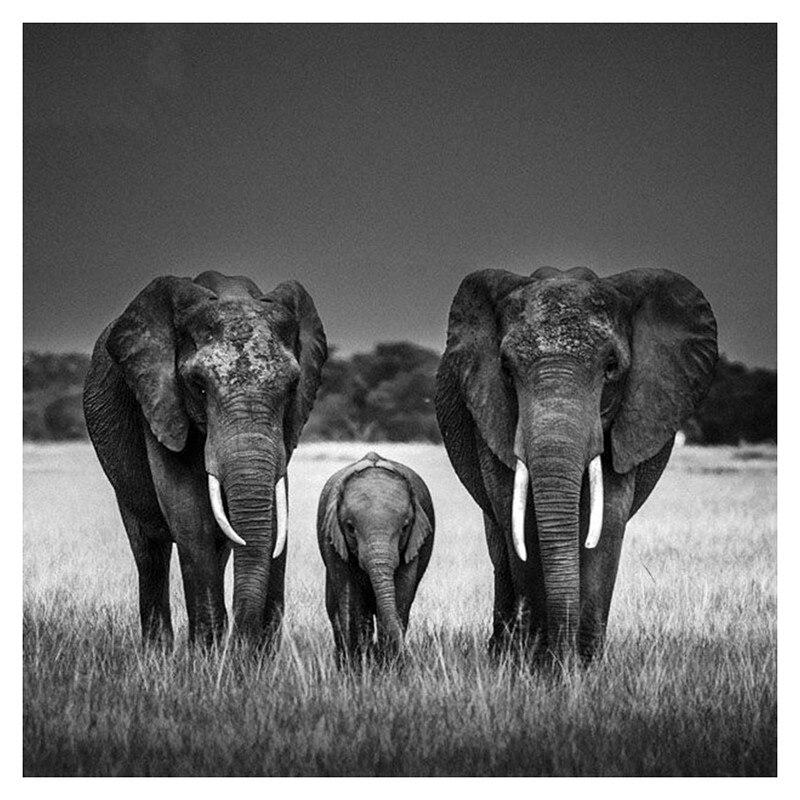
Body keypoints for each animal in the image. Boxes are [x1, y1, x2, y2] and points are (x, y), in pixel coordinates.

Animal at [83, 271, 327, 650]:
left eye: (292, 387)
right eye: (198, 386)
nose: (245, 646)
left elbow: (273, 516)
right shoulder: (159, 402)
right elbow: (188, 512)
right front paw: (206, 655)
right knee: (149, 551)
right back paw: (158, 652)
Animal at [317, 452, 435, 663]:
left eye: (405, 528)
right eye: (350, 528)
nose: (406, 655)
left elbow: (402, 593)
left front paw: (388, 665)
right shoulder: (332, 540)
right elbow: (351, 598)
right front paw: (357, 667)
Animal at [435, 266, 717, 662]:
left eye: (611, 368)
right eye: (505, 369)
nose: (562, 655)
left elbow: (608, 519)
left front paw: (581, 665)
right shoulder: (489, 412)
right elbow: (519, 521)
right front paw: (538, 661)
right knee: (500, 540)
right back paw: (502, 652)